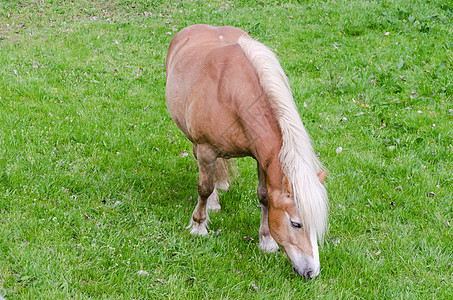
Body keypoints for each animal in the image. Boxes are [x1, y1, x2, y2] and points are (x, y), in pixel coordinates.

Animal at [164, 24, 326, 280]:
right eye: (296, 224)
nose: (312, 272)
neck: (231, 95)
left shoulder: (262, 158)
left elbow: (264, 196)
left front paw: (266, 241)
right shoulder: (206, 149)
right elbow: (204, 188)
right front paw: (198, 226)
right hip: (195, 143)